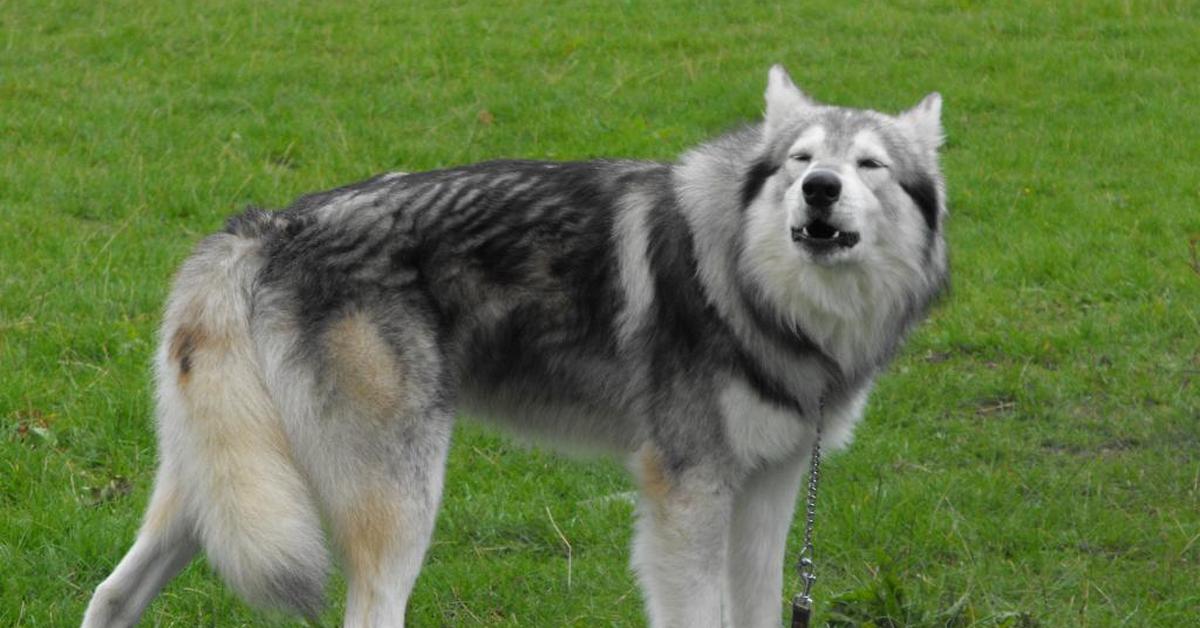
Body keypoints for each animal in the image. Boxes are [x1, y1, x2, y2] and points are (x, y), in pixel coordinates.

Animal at [82, 66, 945, 624]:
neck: (753, 286)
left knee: (111, 594)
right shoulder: (688, 497)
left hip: (221, 493)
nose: (820, 190)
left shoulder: (769, 492)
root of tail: (267, 228)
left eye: (868, 165)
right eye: (802, 160)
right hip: (400, 504)